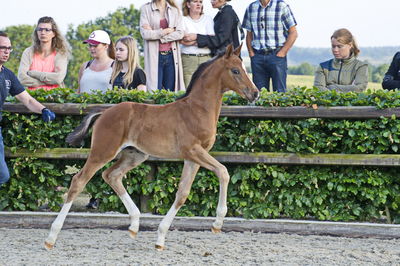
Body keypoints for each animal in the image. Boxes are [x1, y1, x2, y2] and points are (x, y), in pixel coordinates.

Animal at [44, 43, 260, 249]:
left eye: (243, 68)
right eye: (235, 70)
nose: (255, 93)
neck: (196, 109)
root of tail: (103, 113)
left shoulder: (193, 158)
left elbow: (183, 193)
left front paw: (160, 238)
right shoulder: (193, 150)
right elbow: (223, 171)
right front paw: (217, 223)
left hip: (135, 155)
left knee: (111, 175)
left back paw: (134, 224)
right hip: (103, 151)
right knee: (79, 181)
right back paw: (51, 238)